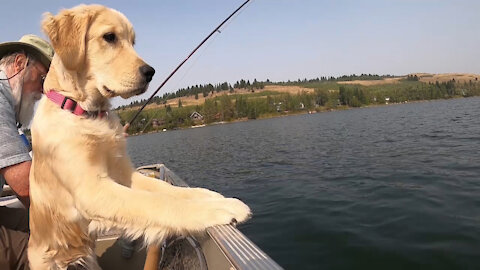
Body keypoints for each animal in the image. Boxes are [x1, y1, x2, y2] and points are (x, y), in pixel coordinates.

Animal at [28, 4, 251, 270]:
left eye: (133, 42)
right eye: (109, 37)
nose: (150, 73)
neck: (86, 111)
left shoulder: (125, 175)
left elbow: (169, 189)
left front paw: (209, 196)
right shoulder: (92, 190)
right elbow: (159, 203)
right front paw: (220, 208)